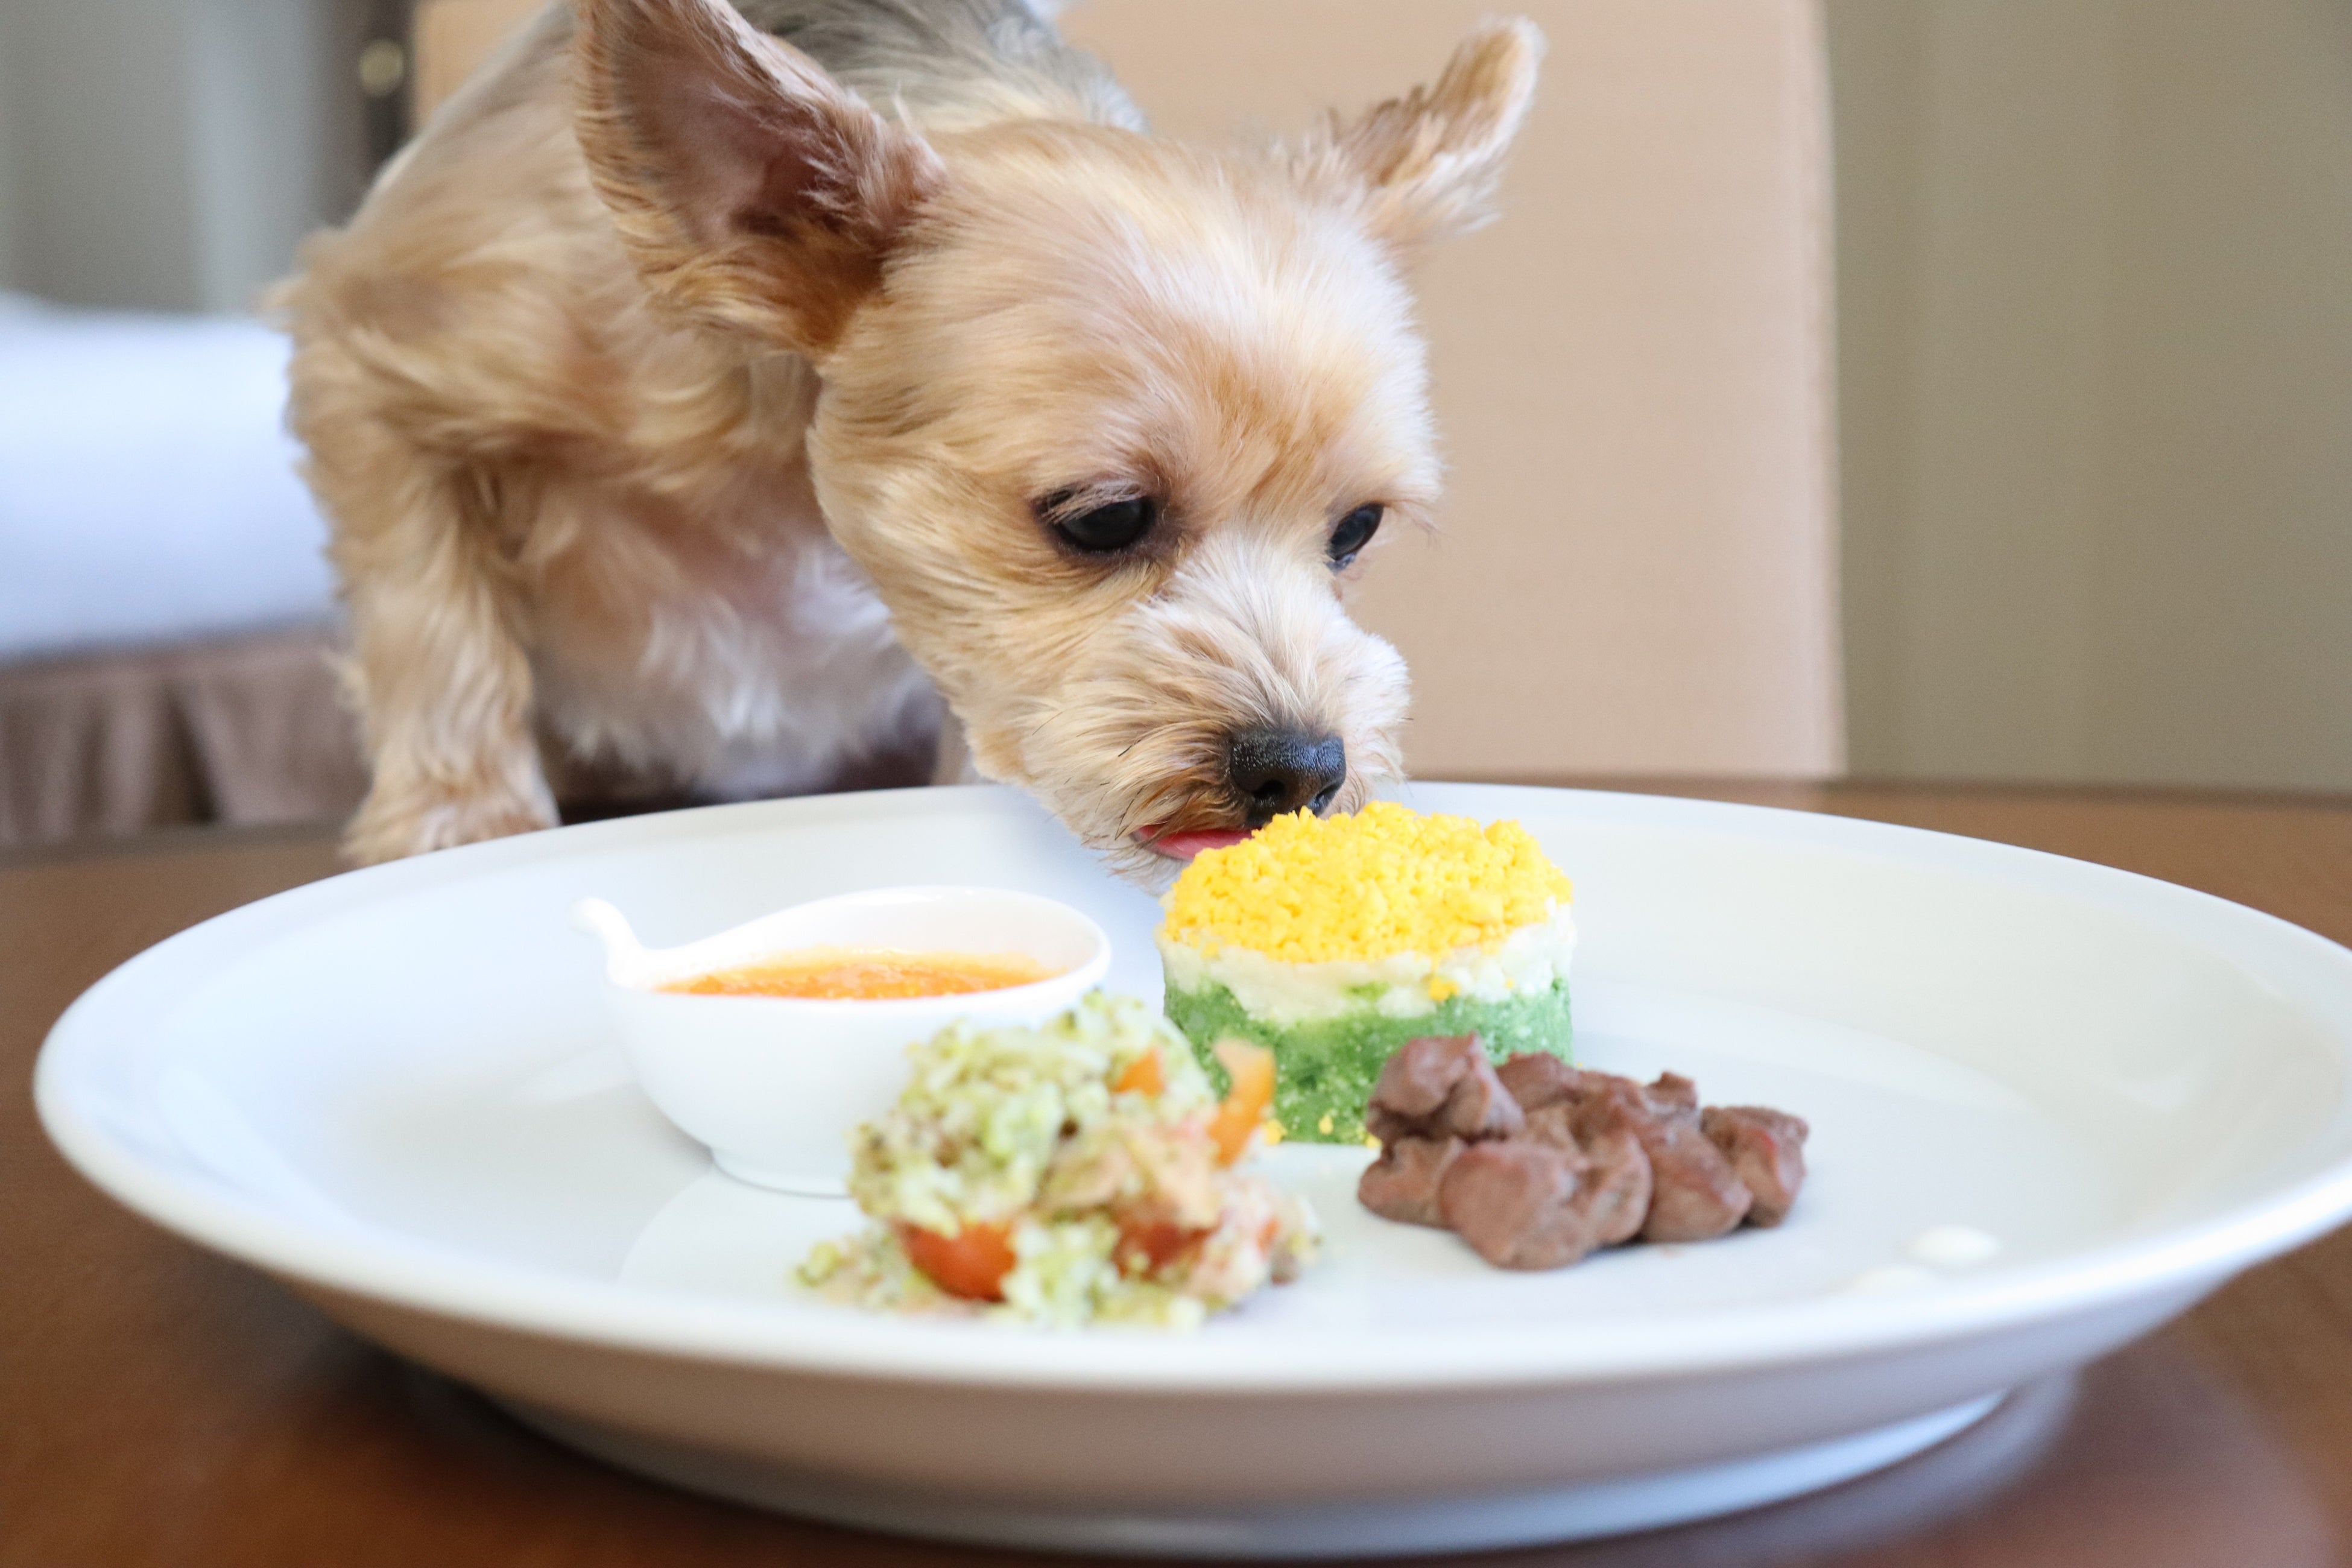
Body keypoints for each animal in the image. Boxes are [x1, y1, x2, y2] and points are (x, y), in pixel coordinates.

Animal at [280, 0, 1543, 879]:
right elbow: (431, 621)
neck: (782, 463)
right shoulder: (379, 356)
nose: (1305, 767)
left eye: (1356, 531)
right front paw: (463, 826)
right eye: (1104, 519)